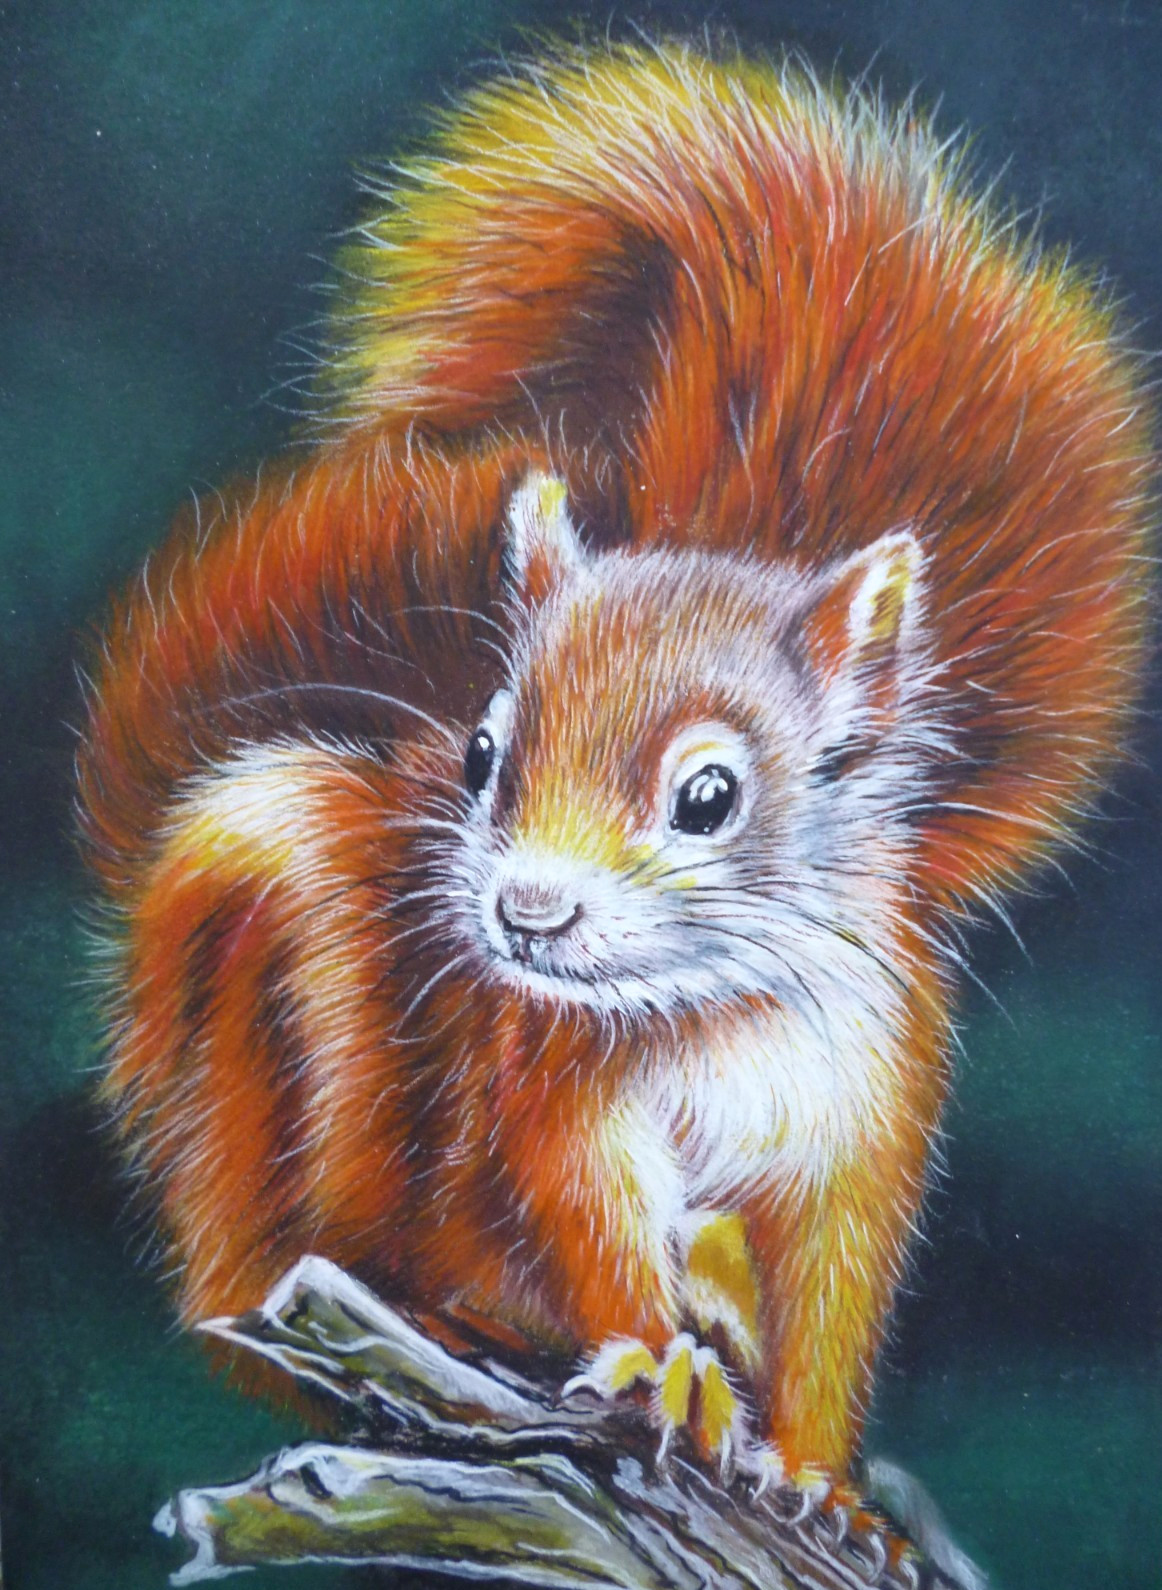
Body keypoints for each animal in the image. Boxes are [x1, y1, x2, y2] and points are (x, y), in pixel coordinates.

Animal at [76, 43, 1154, 1502]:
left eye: (709, 796)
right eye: (482, 754)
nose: (525, 915)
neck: (711, 1008)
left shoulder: (868, 1106)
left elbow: (836, 1296)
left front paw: (819, 1473)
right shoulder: (548, 1085)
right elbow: (584, 1219)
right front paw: (664, 1367)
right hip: (269, 1004)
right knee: (264, 1290)